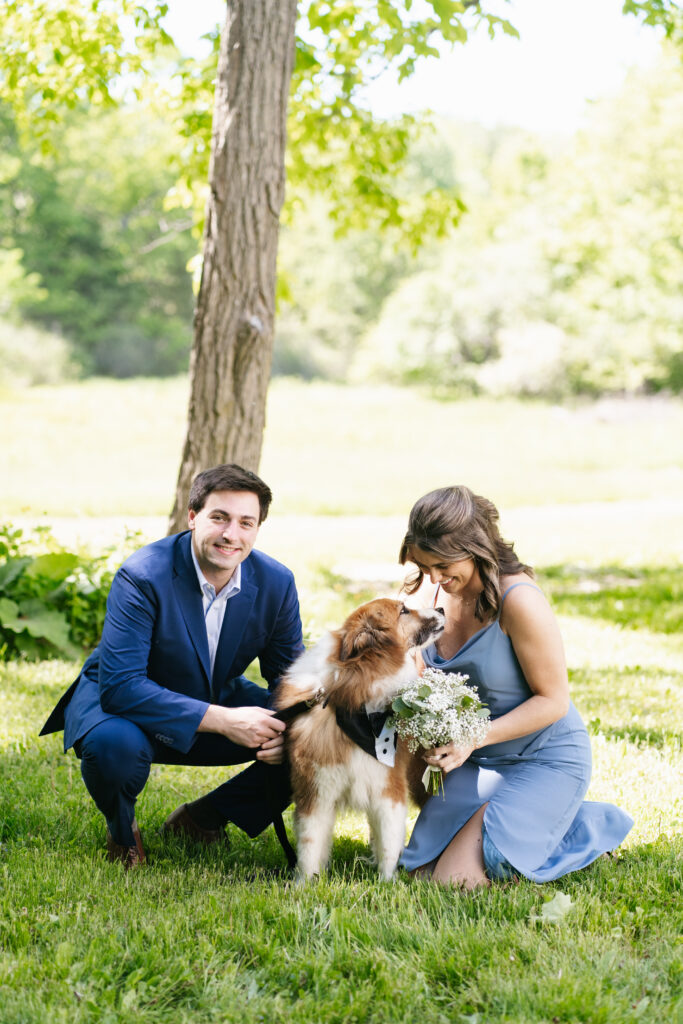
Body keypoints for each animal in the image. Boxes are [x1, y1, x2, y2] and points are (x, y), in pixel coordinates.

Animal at [274, 598, 446, 880]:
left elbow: (389, 842)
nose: (442, 609)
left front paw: (386, 882)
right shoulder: (316, 792)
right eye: (404, 611)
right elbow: (309, 846)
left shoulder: (388, 789)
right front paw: (306, 883)